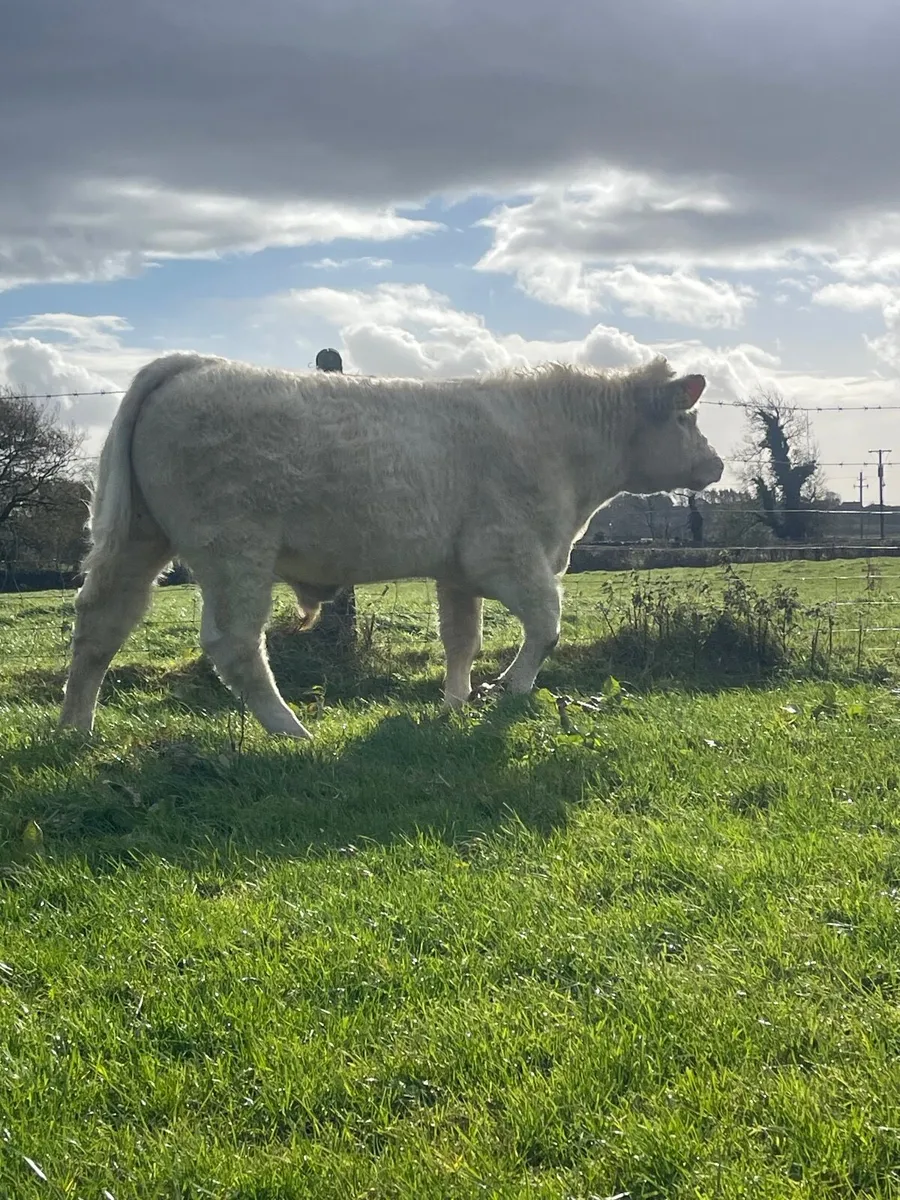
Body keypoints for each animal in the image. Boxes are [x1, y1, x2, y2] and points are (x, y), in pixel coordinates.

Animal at [58, 353, 723, 740]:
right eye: (686, 419)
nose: (716, 464)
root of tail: (193, 366)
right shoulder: (506, 553)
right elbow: (547, 623)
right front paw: (509, 689)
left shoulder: (458, 570)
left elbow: (462, 640)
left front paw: (456, 702)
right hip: (234, 550)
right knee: (235, 645)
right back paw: (290, 731)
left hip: (139, 539)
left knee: (99, 625)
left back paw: (74, 730)